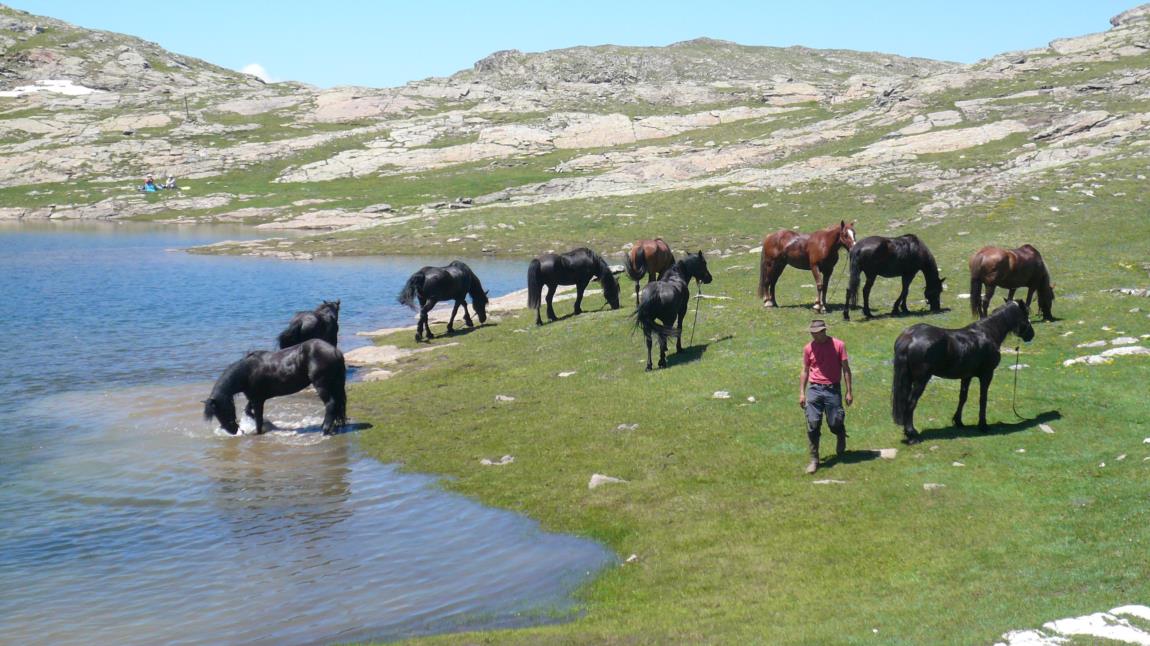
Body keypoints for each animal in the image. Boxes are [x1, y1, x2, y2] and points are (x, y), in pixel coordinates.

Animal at [204, 339, 348, 436]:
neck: (247, 372)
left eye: (220, 411)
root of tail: (335, 351)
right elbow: (248, 411)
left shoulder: (258, 400)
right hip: (336, 384)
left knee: (331, 404)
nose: (233, 430)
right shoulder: (254, 398)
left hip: (322, 386)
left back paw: (325, 430)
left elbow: (258, 420)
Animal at [891, 300, 1035, 444]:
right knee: (910, 403)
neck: (988, 332)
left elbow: (963, 398)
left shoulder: (967, 376)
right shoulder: (987, 375)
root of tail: (910, 337)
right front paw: (983, 425)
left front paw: (958, 422)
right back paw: (912, 434)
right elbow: (983, 398)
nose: (1031, 334)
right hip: (921, 380)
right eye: (1026, 313)